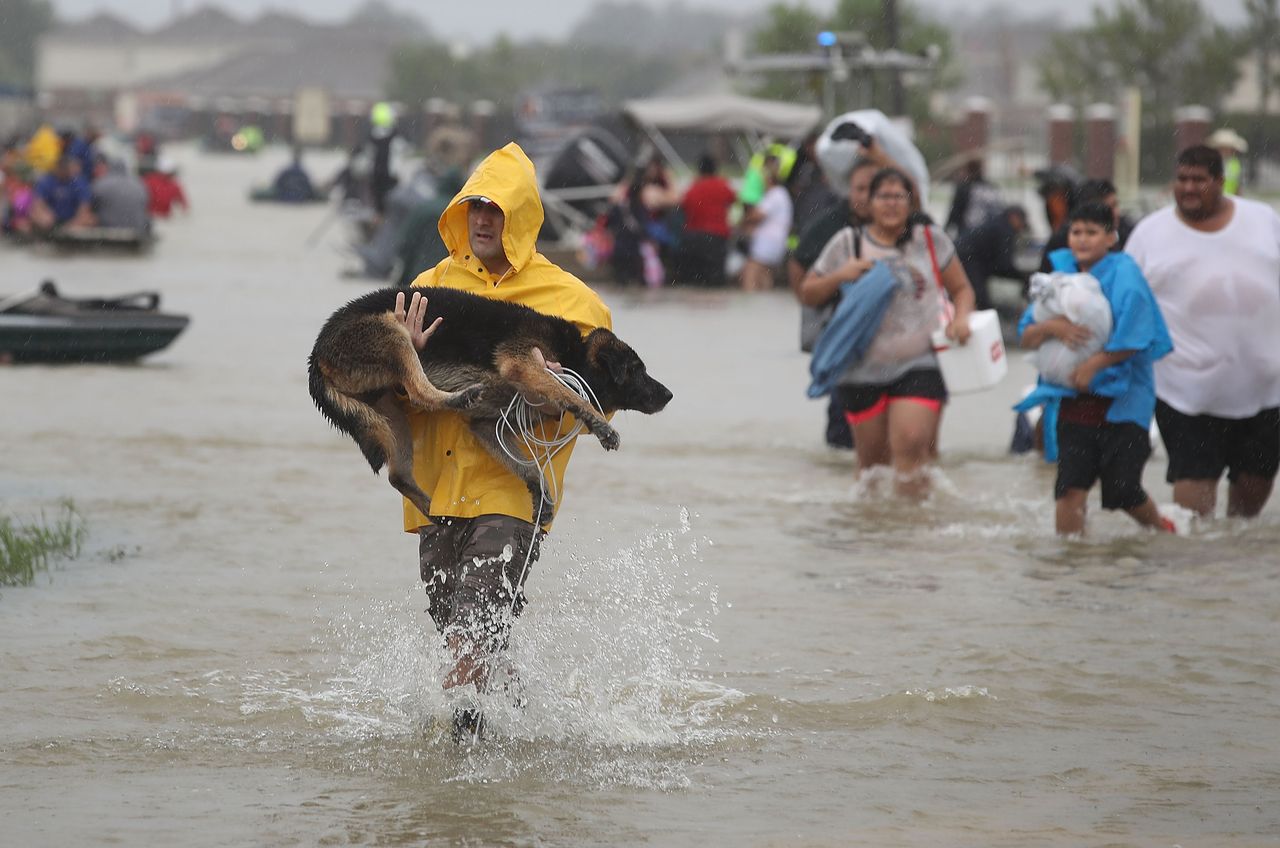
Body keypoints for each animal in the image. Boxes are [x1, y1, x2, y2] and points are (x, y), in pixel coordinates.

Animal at [308, 285, 675, 514]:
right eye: (638, 370)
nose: (670, 395)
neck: (576, 355)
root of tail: (317, 351)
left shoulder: (487, 426)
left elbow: (527, 467)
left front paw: (540, 494)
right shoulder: (524, 363)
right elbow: (570, 393)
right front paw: (600, 426)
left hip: (389, 411)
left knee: (397, 474)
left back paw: (432, 510)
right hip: (394, 334)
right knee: (419, 391)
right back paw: (459, 397)